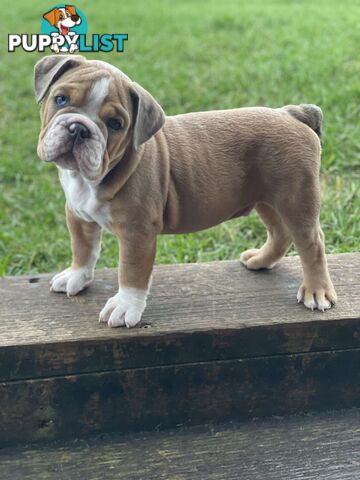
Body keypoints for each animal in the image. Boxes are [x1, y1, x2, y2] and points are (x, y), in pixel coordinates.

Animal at [33, 55, 338, 326]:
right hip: (267, 199)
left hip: (296, 198)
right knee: (280, 233)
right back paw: (260, 260)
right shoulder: (78, 216)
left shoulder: (137, 232)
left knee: (311, 242)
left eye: (115, 124)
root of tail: (292, 113)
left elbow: (131, 272)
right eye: (60, 99)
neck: (89, 179)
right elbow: (82, 249)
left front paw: (125, 306)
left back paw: (317, 291)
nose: (78, 128)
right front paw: (75, 276)